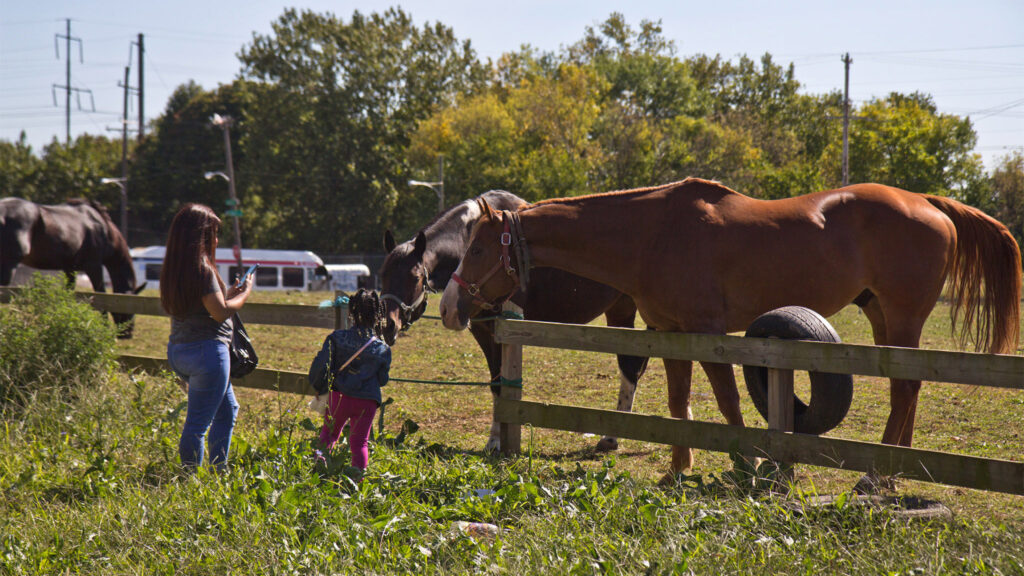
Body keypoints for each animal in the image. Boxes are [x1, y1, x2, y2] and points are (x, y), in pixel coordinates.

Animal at [0, 197, 146, 338]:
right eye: (130, 307)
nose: (127, 334)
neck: (103, 229)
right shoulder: (93, 266)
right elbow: (101, 296)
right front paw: (103, 330)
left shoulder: (70, 268)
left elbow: (68, 293)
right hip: (10, 266)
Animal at [380, 190, 650, 452]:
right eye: (383, 274)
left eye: (415, 277)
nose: (387, 325)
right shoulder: (483, 331)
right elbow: (495, 384)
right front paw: (494, 439)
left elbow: (502, 384)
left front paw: (497, 440)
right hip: (620, 311)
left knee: (630, 367)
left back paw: (611, 437)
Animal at [439, 178, 1022, 487]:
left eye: (478, 248)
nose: (448, 307)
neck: (652, 236)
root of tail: (927, 202)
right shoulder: (668, 332)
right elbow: (678, 404)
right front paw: (678, 469)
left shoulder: (706, 331)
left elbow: (727, 402)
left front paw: (748, 462)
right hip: (881, 315)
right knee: (910, 389)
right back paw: (894, 470)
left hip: (901, 317)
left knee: (904, 390)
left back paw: (876, 475)